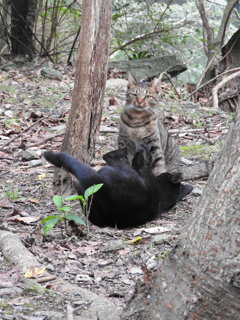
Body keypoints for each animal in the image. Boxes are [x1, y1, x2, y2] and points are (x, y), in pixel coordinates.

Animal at [43, 145, 193, 228]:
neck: (162, 193)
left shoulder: (138, 170)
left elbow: (138, 159)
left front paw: (142, 149)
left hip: (117, 170)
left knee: (107, 157)